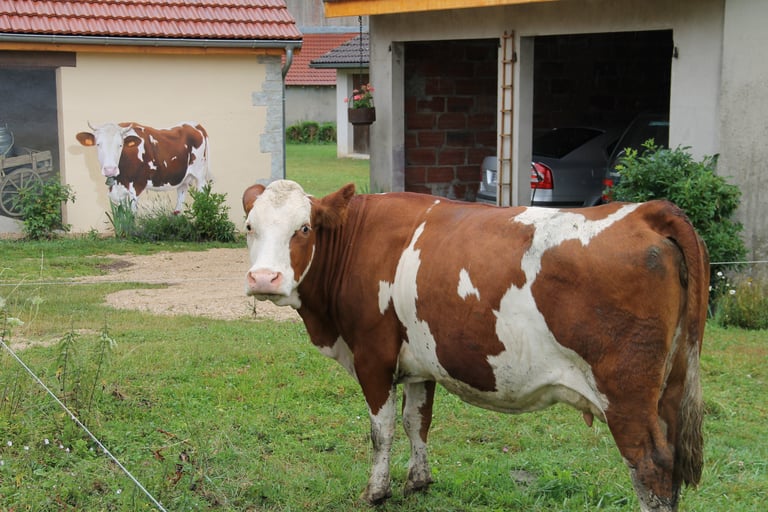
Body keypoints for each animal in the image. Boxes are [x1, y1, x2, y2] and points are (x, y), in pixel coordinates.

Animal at [76, 122, 210, 213]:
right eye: (98, 144)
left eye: (120, 145)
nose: (110, 169)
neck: (120, 178)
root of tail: (193, 125)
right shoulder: (118, 191)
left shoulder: (136, 187)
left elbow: (131, 217)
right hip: (182, 179)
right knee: (179, 204)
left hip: (200, 175)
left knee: (203, 197)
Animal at [241, 180, 708, 511]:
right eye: (249, 228)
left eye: (303, 229)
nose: (263, 278)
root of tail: (646, 211)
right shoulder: (419, 362)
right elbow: (417, 421)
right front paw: (418, 482)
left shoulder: (373, 357)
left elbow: (382, 429)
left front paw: (376, 492)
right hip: (671, 385)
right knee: (672, 466)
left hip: (625, 394)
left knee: (651, 465)